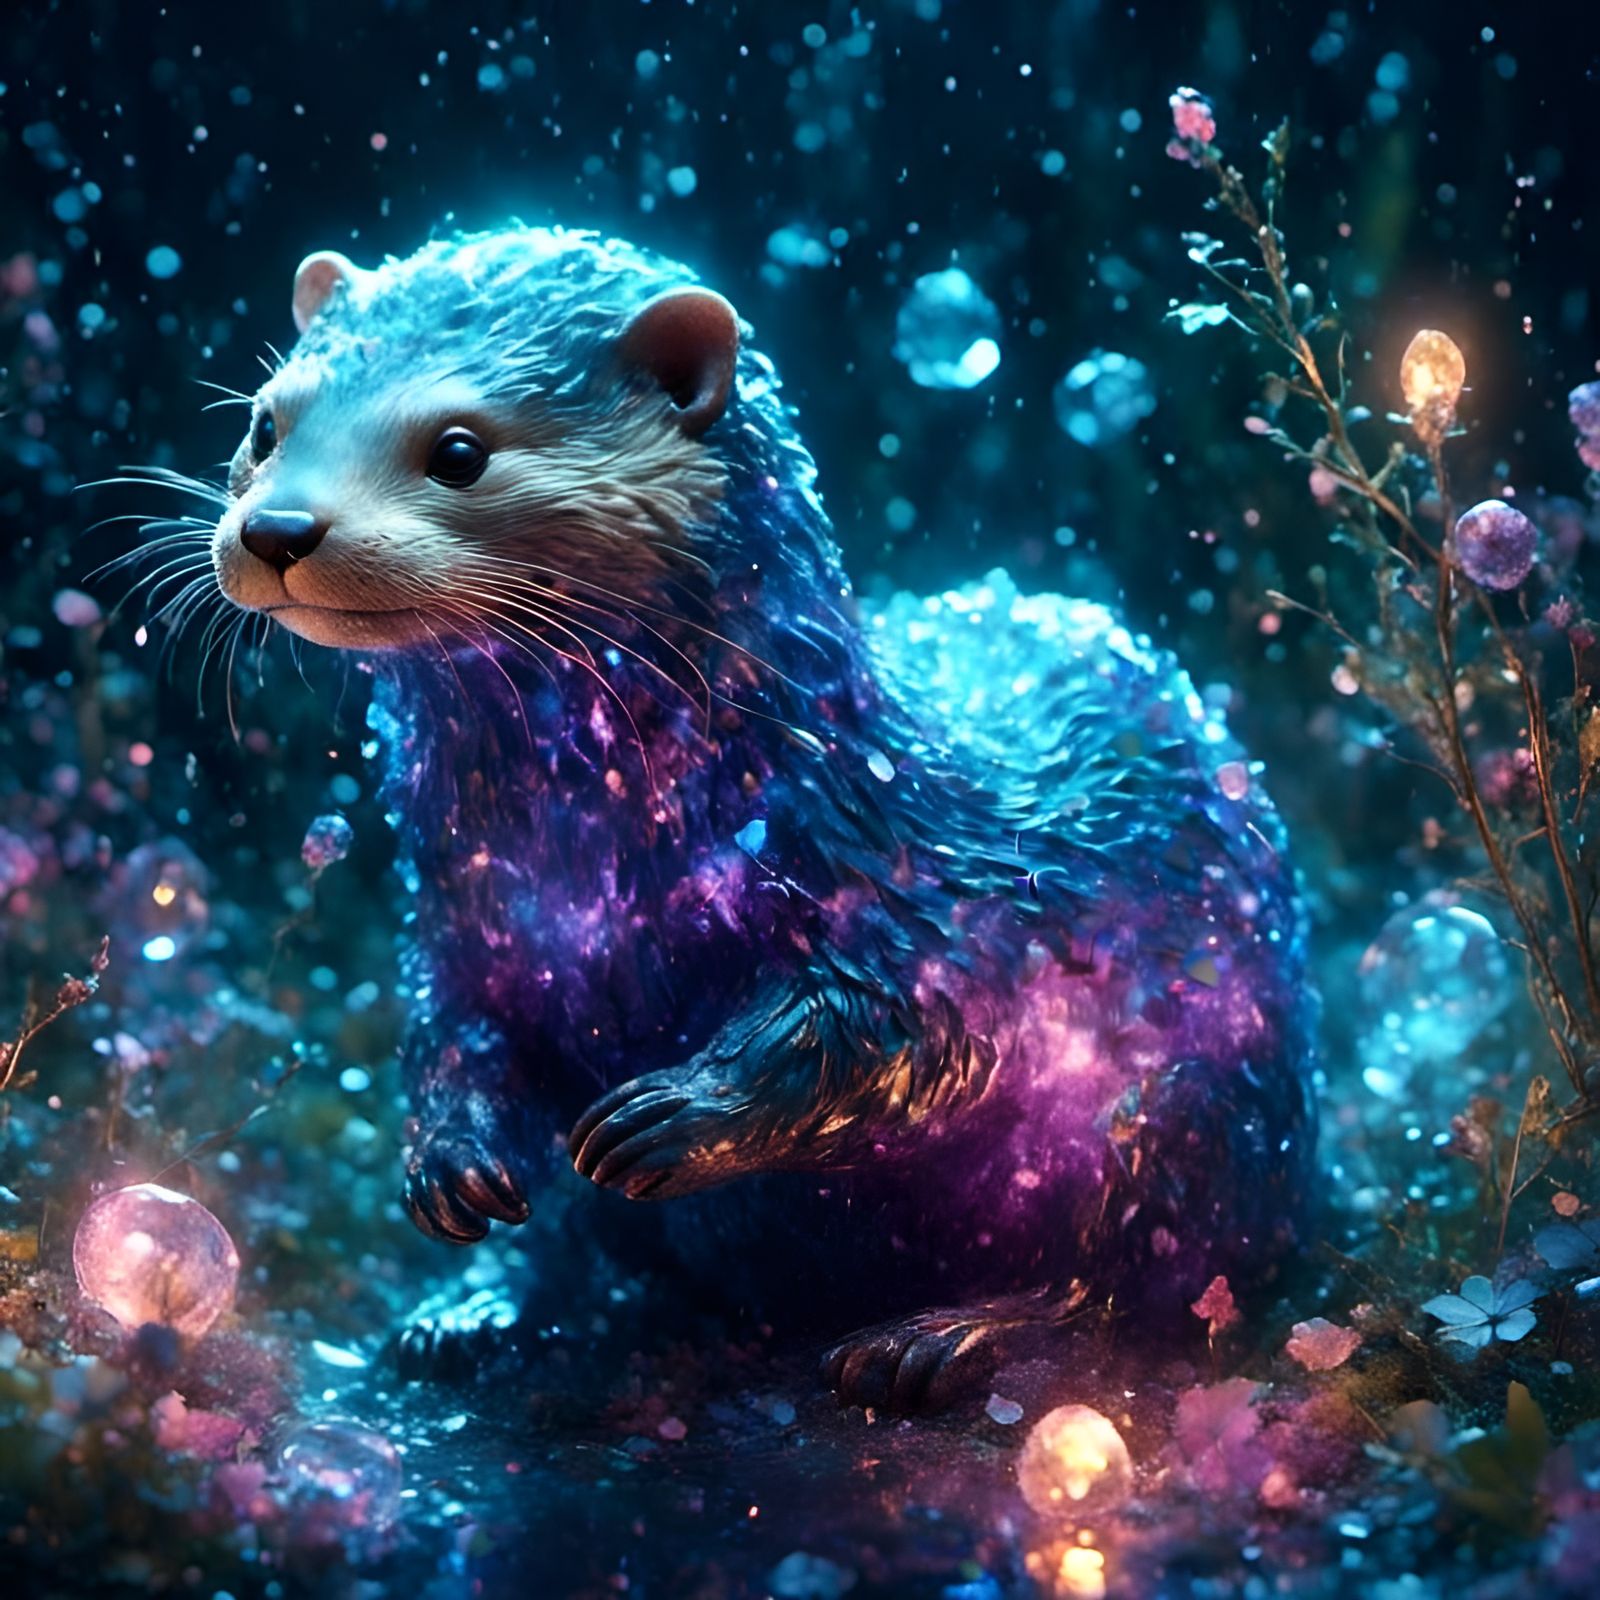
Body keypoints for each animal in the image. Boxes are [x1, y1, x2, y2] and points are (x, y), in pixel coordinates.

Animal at [204, 227, 1315, 1411]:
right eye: (266, 422)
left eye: (459, 449)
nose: (278, 528)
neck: (597, 867)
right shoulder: (458, 929)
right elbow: (450, 1036)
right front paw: (447, 1157)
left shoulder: (920, 883)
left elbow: (901, 1026)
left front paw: (683, 1112)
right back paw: (468, 1310)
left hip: (1191, 1104)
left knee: (1143, 1275)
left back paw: (946, 1336)